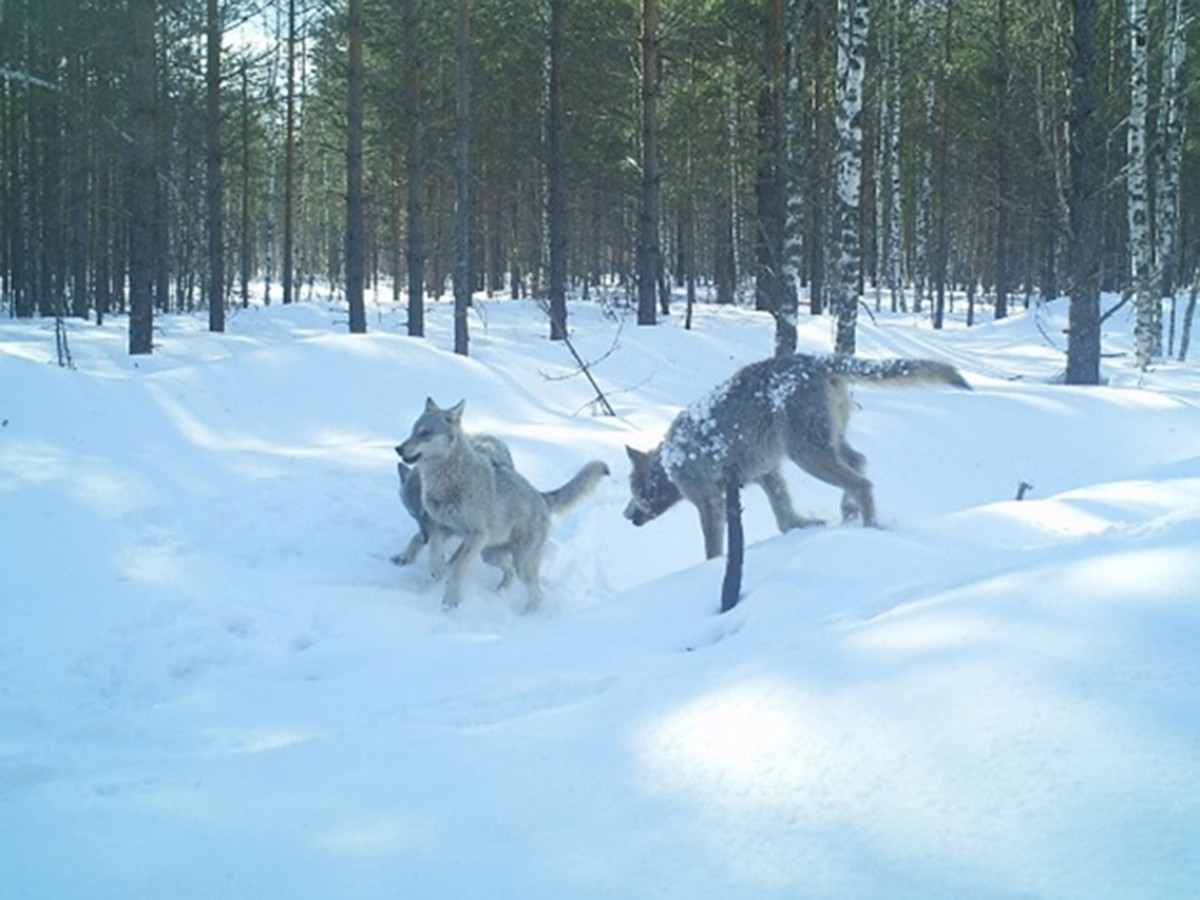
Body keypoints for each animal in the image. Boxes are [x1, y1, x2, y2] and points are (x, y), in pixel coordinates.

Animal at [398, 400, 609, 614]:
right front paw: (436, 569)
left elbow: (457, 566)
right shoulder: (441, 526)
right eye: (413, 431)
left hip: (520, 562)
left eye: (426, 432)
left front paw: (450, 601)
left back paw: (526, 616)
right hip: (489, 555)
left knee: (537, 594)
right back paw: (499, 593)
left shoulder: (475, 534)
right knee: (509, 573)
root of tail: (541, 496)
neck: (449, 482)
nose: (398, 448)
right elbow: (433, 547)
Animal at [624, 355, 969, 561]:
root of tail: (815, 359)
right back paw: (848, 514)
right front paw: (806, 524)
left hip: (808, 455)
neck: (670, 461)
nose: (627, 516)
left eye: (633, 491)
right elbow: (784, 519)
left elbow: (713, 550)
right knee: (860, 463)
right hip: (827, 445)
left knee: (864, 483)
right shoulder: (767, 474)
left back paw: (870, 527)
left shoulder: (710, 502)